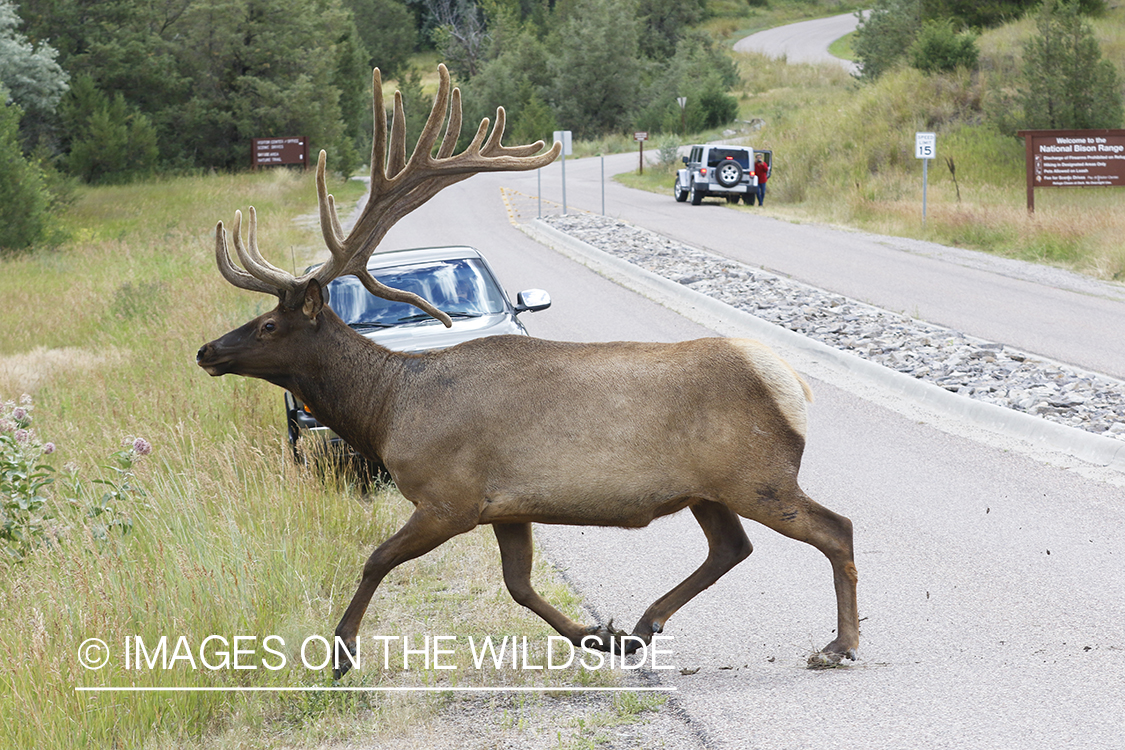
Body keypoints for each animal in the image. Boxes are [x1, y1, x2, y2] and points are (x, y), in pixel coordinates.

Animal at [198, 62, 855, 674]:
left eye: (269, 325)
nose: (207, 351)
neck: (387, 409)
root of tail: (793, 385)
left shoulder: (449, 496)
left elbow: (378, 558)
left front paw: (342, 651)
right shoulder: (506, 506)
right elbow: (519, 585)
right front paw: (600, 636)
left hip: (758, 474)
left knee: (835, 528)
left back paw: (839, 644)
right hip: (709, 487)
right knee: (732, 548)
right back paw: (644, 626)